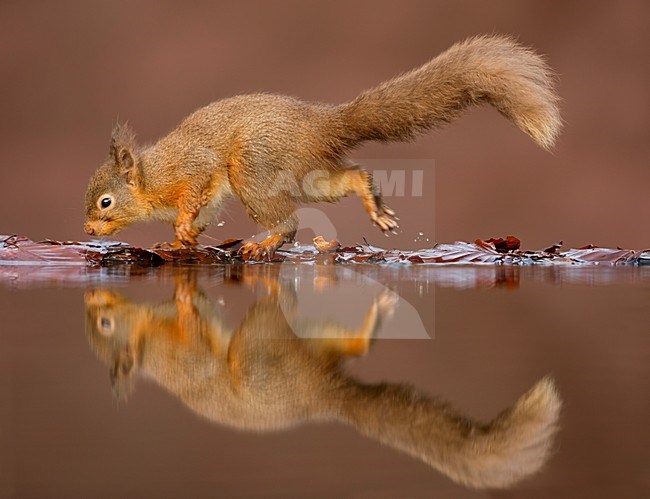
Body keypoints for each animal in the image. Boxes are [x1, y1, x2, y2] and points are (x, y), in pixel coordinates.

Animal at [85, 35, 556, 262]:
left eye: (106, 202)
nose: (88, 231)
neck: (149, 180)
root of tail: (321, 124)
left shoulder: (190, 168)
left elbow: (194, 192)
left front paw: (181, 227)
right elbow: (202, 217)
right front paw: (179, 241)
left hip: (254, 168)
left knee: (290, 220)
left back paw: (267, 243)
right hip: (307, 175)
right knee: (350, 175)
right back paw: (373, 203)